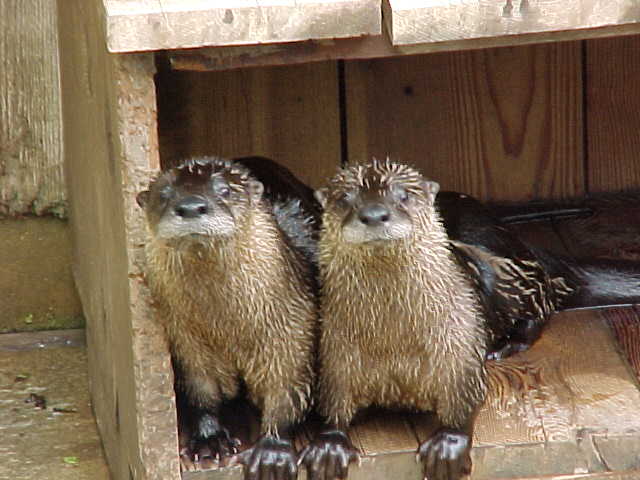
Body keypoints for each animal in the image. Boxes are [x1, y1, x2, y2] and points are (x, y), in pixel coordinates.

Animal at [137, 156, 319, 480]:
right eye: (164, 193)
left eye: (223, 189)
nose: (191, 206)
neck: (230, 330)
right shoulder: (186, 341)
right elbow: (200, 390)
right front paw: (208, 439)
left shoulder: (295, 330)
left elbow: (288, 389)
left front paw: (272, 450)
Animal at [300, 159, 487, 480]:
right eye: (345, 198)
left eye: (404, 196)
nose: (374, 214)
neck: (395, 343)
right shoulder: (333, 353)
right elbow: (331, 401)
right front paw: (329, 446)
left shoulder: (462, 344)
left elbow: (467, 394)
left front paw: (449, 444)